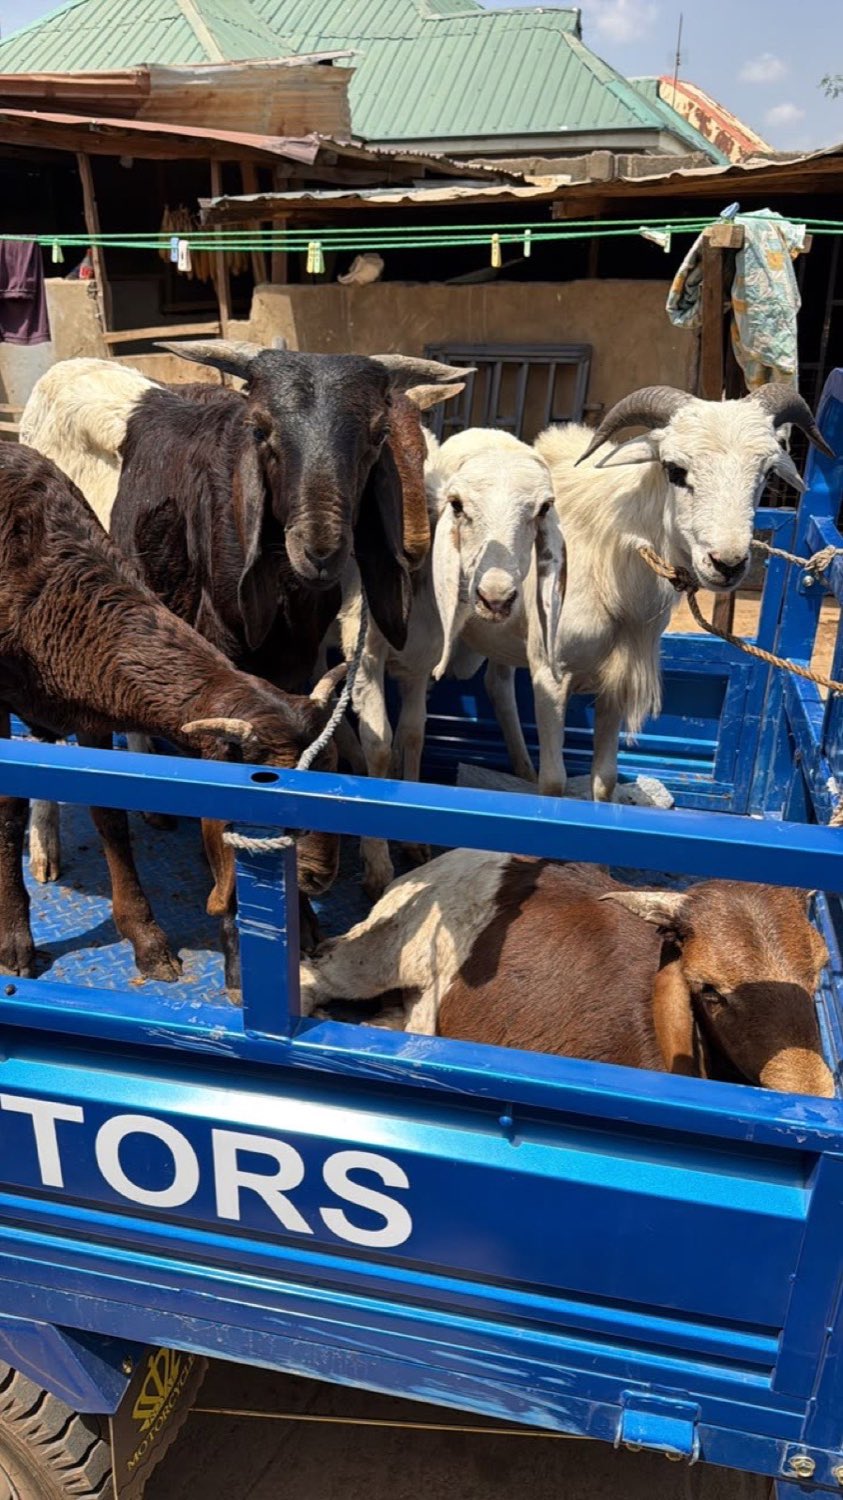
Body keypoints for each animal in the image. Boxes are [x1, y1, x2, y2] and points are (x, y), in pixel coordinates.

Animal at [0, 442, 344, 994]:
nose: (319, 878)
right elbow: (10, 813)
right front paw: (15, 939)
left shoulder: (91, 708)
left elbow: (109, 815)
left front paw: (145, 938)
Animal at [335, 427, 566, 896]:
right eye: (458, 505)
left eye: (542, 508)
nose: (495, 598)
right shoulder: (363, 651)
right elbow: (379, 743)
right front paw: (376, 861)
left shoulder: (421, 658)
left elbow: (412, 734)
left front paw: (409, 834)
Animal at [502, 383, 836, 803]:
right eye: (675, 469)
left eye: (767, 473)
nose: (727, 564)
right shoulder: (550, 675)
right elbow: (553, 784)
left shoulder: (617, 679)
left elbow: (605, 779)